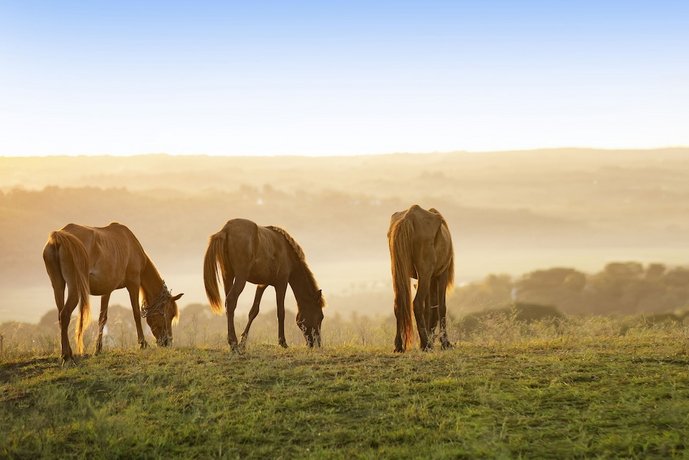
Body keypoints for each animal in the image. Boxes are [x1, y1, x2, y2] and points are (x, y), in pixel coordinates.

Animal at [42, 223, 183, 362]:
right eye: (168, 314)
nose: (167, 342)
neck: (131, 246)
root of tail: (58, 237)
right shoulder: (133, 284)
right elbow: (136, 313)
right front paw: (143, 343)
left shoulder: (106, 290)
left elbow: (102, 318)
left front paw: (98, 349)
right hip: (75, 287)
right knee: (65, 314)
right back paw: (66, 356)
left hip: (58, 285)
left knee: (60, 315)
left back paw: (67, 353)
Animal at [202, 217, 326, 350]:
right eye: (320, 316)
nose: (317, 344)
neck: (287, 252)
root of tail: (226, 229)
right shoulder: (281, 283)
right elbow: (281, 312)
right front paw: (282, 342)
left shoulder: (262, 285)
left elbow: (253, 311)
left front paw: (243, 342)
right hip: (240, 278)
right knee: (231, 301)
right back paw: (233, 342)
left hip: (228, 276)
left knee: (228, 304)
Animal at [384, 205, 454, 352]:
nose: (432, 337)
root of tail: (408, 218)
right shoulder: (440, 274)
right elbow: (441, 307)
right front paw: (445, 342)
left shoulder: (428, 279)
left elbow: (428, 308)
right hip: (425, 274)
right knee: (416, 303)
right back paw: (427, 344)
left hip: (399, 273)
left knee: (398, 304)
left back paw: (399, 345)